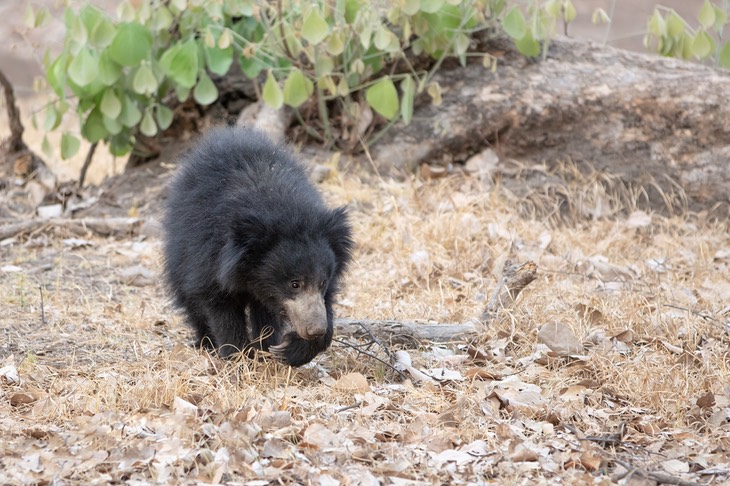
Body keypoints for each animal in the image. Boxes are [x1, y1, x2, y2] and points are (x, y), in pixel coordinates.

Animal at [161, 127, 352, 366]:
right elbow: (219, 306)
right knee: (189, 299)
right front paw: (238, 359)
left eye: (323, 282)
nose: (315, 330)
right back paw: (207, 343)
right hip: (180, 251)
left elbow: (323, 303)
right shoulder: (208, 254)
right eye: (294, 284)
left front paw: (285, 350)